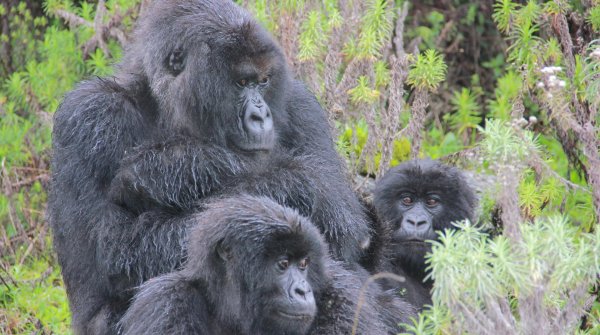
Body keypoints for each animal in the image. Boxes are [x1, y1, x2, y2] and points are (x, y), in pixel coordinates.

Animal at [49, 0, 370, 334]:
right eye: (241, 82)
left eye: (263, 81)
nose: (261, 116)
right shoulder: (91, 116)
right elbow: (117, 248)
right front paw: (179, 165)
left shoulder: (300, 104)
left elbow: (337, 212)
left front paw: (163, 167)